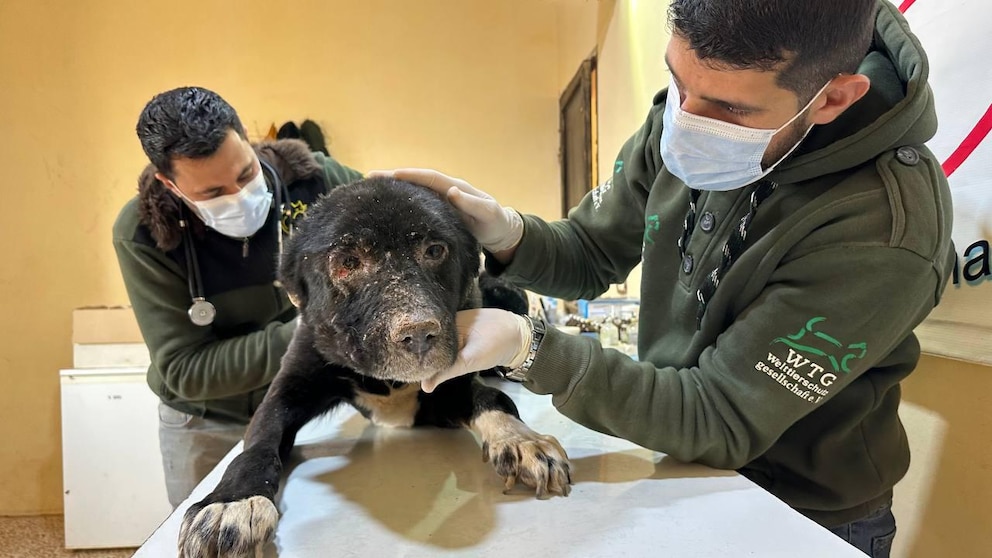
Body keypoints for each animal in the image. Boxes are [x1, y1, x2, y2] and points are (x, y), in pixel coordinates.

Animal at [174, 178, 568, 558]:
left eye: (435, 251)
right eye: (348, 261)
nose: (419, 333)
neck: (387, 381)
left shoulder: (449, 392)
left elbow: (493, 400)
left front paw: (520, 440)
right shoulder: (288, 390)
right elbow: (257, 444)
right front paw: (232, 502)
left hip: (507, 292)